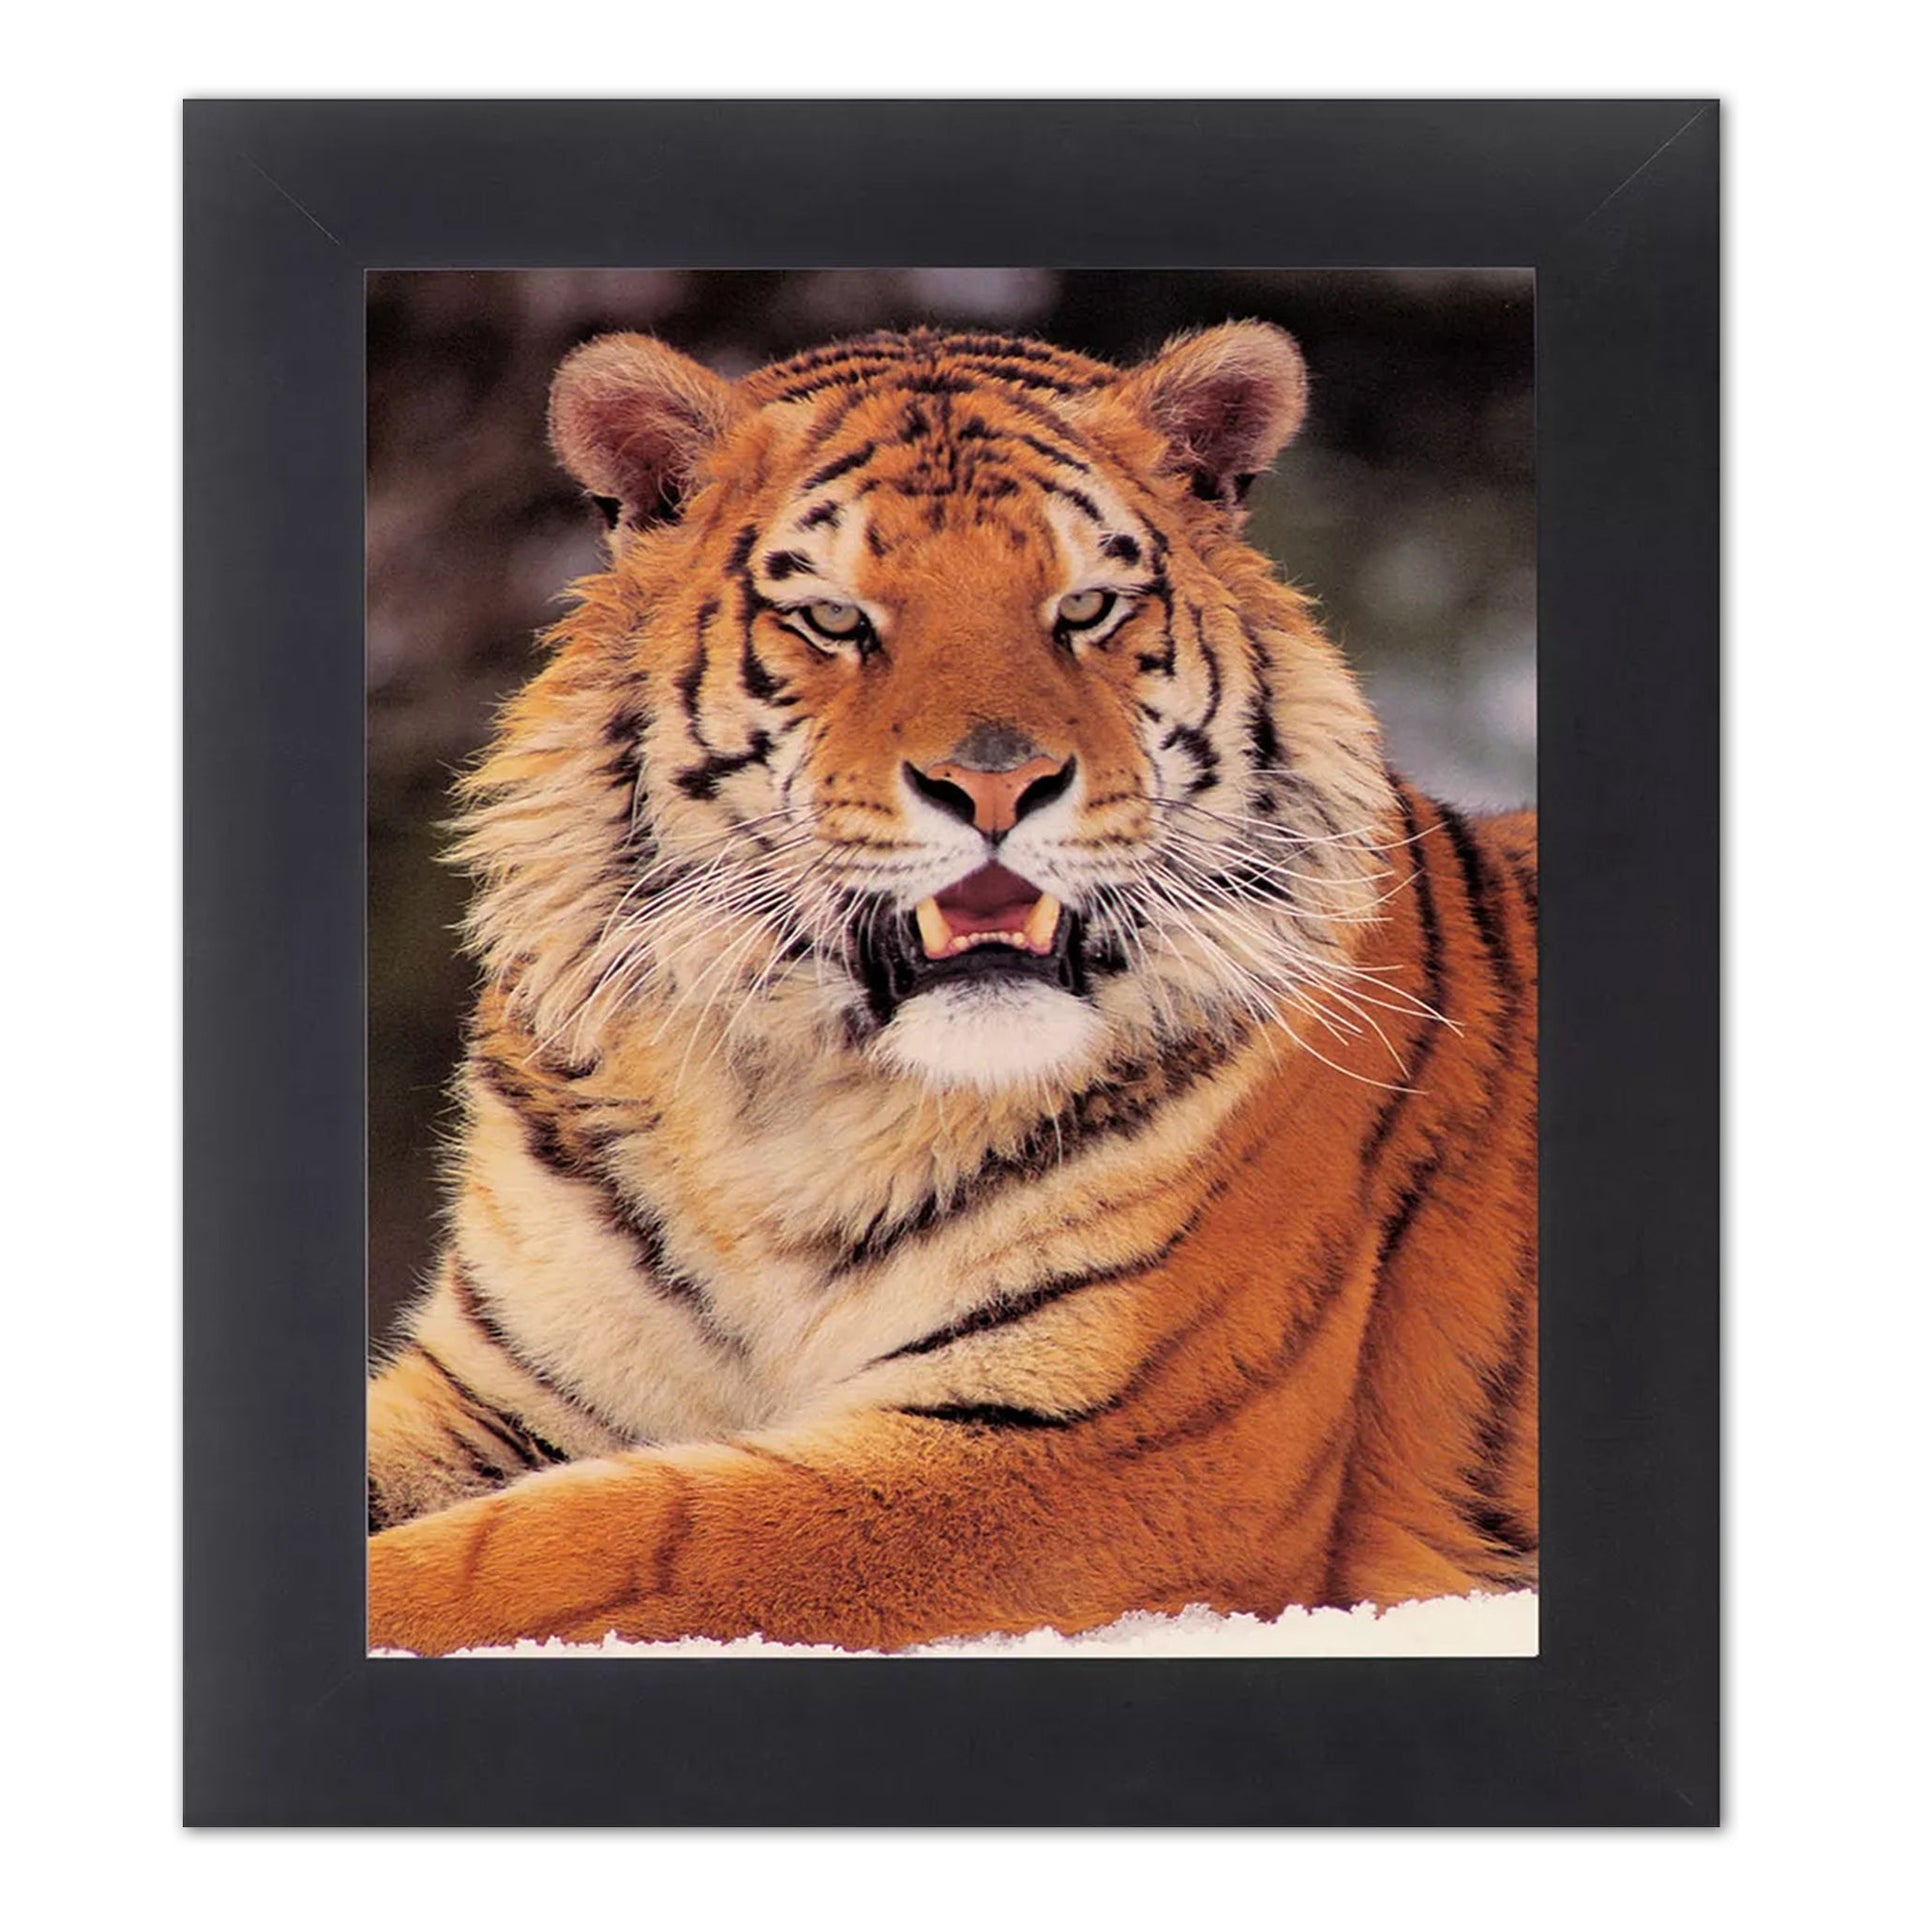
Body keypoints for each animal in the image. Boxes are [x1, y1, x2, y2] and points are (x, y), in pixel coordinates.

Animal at [367, 321, 1537, 1656]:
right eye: (834, 618)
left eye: (1086, 608)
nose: (995, 786)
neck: (780, 1105)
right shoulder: (493, 1393)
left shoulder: (1091, 1450)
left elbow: (582, 1547)